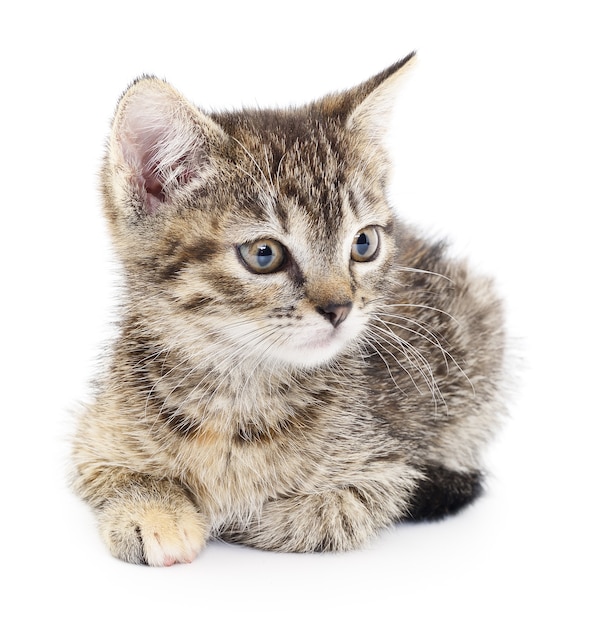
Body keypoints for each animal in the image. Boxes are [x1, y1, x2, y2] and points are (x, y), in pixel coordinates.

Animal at [71, 51, 506, 564]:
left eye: (364, 243)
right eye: (264, 254)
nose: (340, 308)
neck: (235, 393)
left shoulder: (385, 471)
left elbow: (316, 516)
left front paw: (235, 510)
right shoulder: (94, 434)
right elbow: (114, 474)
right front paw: (153, 515)